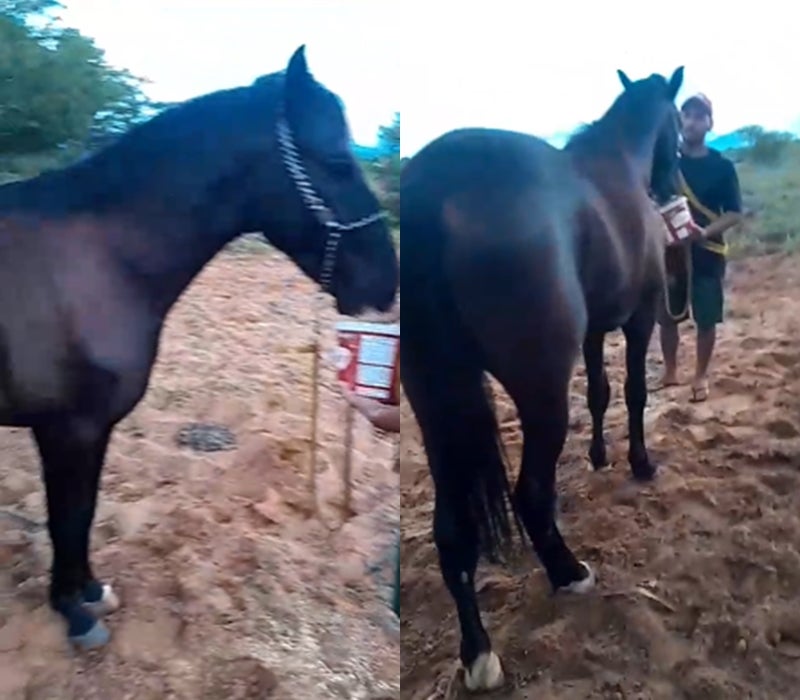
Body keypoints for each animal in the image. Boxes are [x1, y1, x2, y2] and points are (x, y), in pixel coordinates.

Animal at [0, 45, 398, 649]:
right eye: (337, 161)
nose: (388, 284)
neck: (98, 261)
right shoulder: (68, 428)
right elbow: (66, 515)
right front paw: (74, 612)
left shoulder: (89, 430)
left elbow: (84, 510)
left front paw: (90, 591)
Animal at [400, 67, 683, 691]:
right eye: (680, 126)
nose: (673, 188)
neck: (618, 161)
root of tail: (432, 186)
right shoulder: (640, 316)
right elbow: (633, 392)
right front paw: (640, 462)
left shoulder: (596, 328)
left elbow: (601, 393)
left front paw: (601, 456)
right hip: (542, 390)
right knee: (530, 492)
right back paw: (568, 572)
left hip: (435, 404)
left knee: (451, 529)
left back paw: (477, 652)